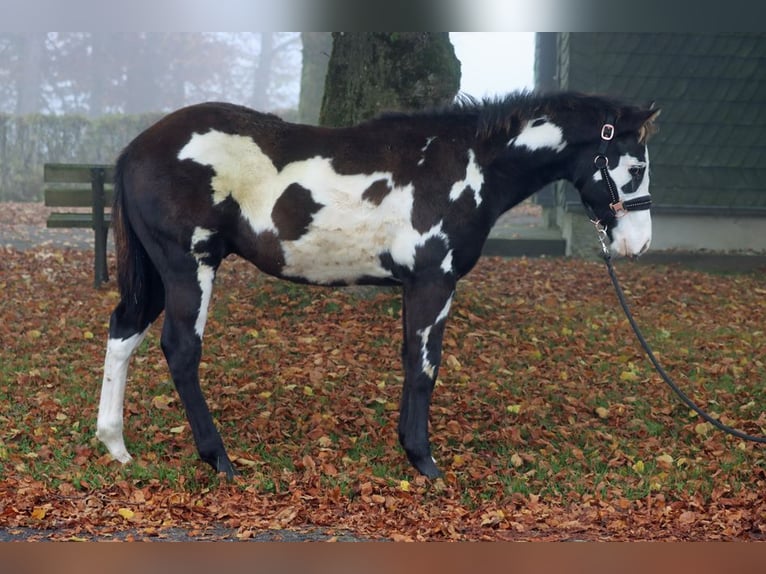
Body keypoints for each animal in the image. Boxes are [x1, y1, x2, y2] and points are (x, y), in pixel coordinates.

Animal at [94, 92, 660, 480]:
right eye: (634, 167)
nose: (638, 243)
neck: (467, 164)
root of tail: (135, 148)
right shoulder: (434, 281)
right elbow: (425, 368)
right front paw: (424, 461)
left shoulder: (416, 285)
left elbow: (411, 362)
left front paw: (410, 450)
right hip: (189, 267)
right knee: (181, 350)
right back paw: (218, 458)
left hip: (160, 275)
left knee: (124, 330)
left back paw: (116, 445)